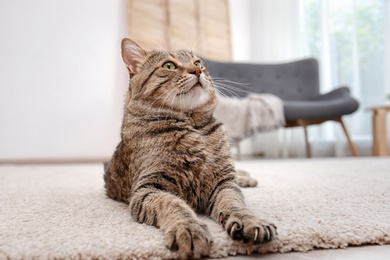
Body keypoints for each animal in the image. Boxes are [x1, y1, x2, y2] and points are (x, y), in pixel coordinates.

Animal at [102, 38, 276, 258]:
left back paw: (247, 178)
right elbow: (174, 205)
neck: (193, 126)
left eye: (198, 63)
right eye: (169, 66)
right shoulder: (148, 188)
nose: (197, 71)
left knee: (238, 173)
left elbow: (234, 203)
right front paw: (189, 229)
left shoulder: (224, 182)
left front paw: (251, 221)